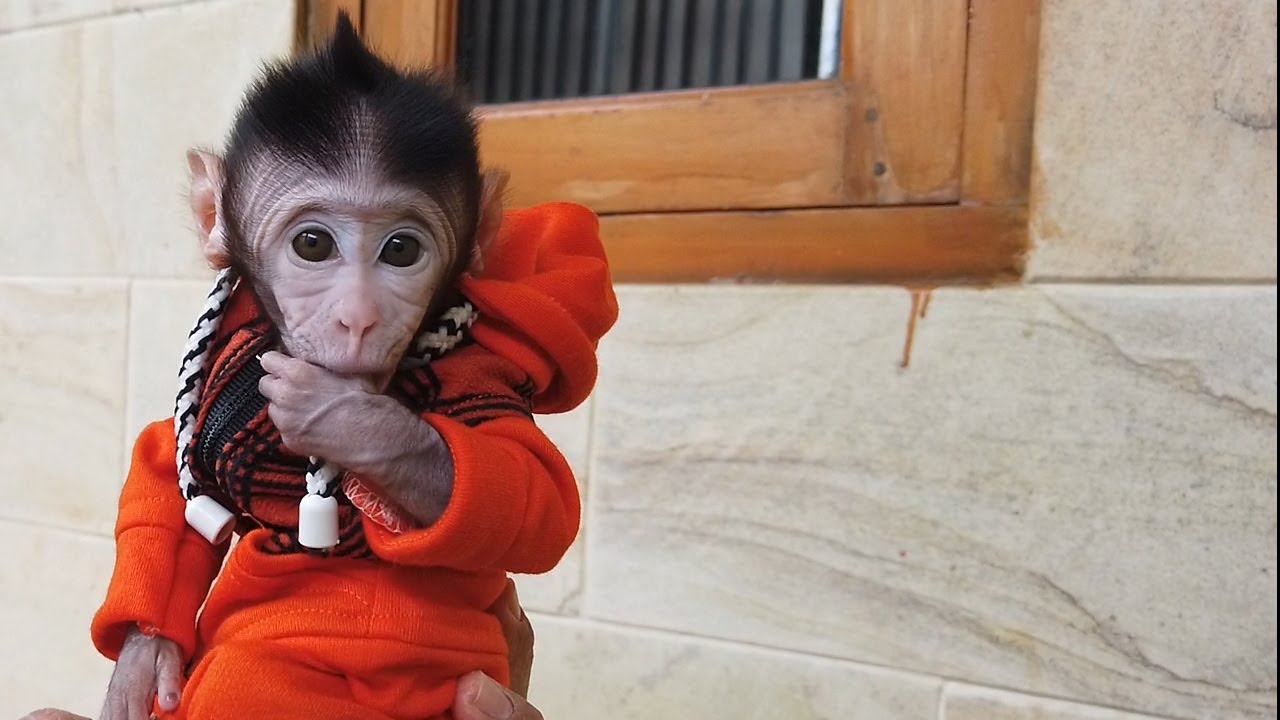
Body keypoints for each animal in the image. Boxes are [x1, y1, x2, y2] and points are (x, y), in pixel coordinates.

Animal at [88, 15, 617, 720]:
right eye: (313, 244)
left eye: (402, 250)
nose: (360, 317)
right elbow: (160, 468)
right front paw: (145, 659)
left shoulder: (486, 376)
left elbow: (534, 496)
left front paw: (344, 417)